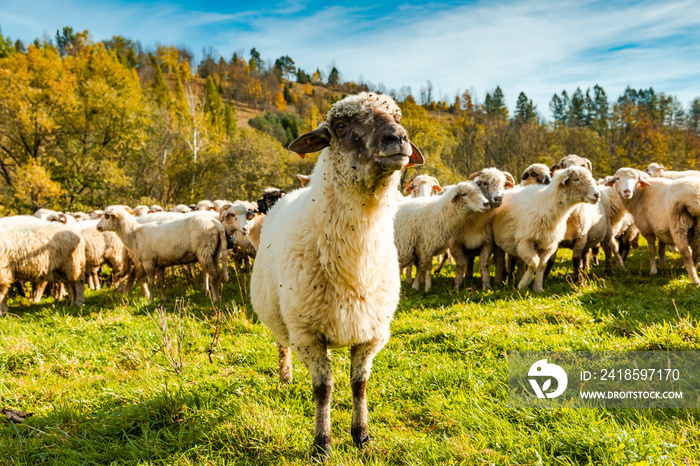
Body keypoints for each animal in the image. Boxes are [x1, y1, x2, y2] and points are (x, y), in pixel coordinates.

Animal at [252, 92, 426, 458]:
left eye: (397, 117)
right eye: (342, 126)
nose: (398, 138)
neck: (354, 269)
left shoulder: (371, 333)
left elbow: (359, 385)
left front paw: (361, 435)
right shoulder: (308, 334)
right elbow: (324, 389)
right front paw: (322, 443)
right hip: (283, 319)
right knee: (282, 344)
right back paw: (286, 376)